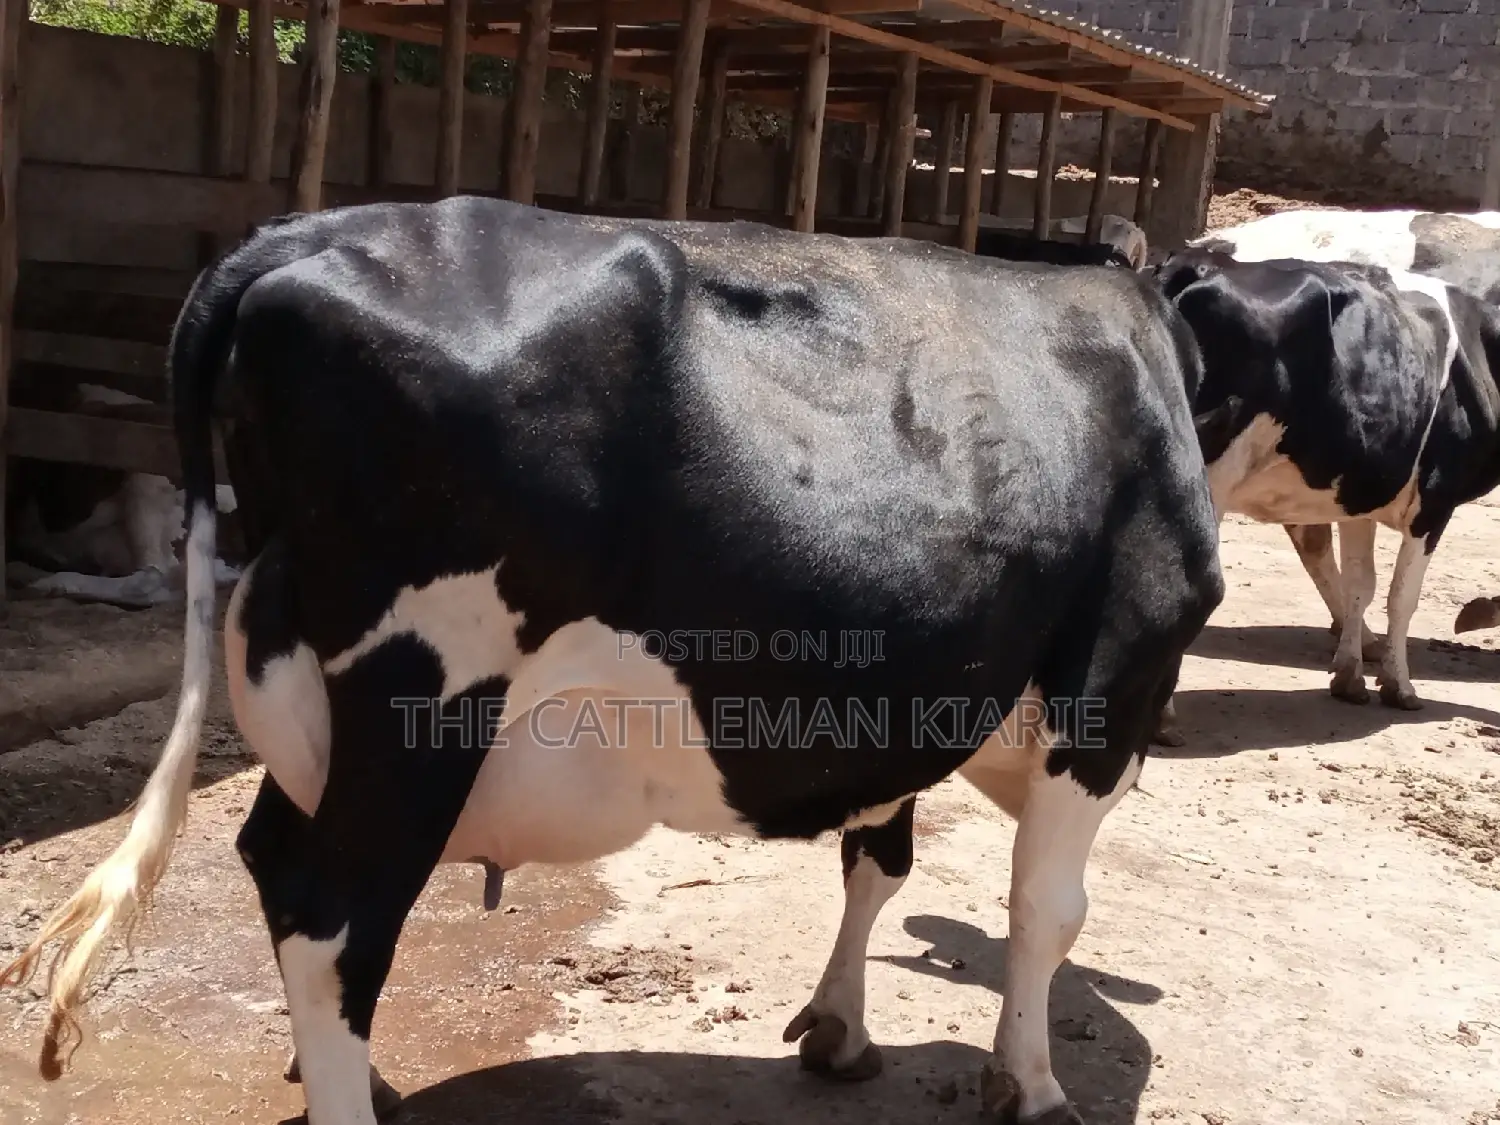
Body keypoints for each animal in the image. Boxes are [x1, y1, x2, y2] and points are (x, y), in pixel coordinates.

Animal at [0, 197, 1223, 1125]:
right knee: (330, 912)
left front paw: (839, 1030)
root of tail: (308, 231)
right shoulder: (1119, 674)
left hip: (320, 709)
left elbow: (878, 859)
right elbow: (1047, 906)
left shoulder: (922, 693)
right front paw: (1032, 1085)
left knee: (271, 856)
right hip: (420, 703)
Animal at [1151, 245, 1500, 714]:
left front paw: (1351, 677)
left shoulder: (1361, 494)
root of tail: (1196, 264)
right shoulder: (1435, 498)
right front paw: (1400, 686)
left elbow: (1361, 584)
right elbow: (1401, 596)